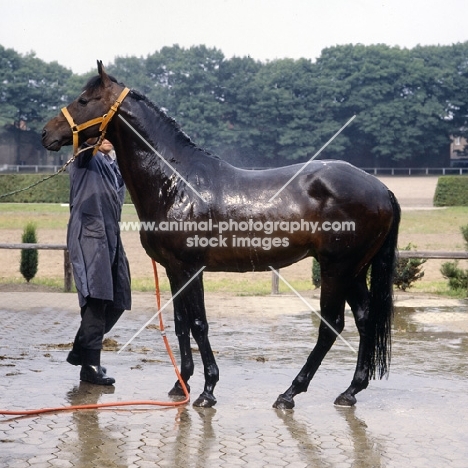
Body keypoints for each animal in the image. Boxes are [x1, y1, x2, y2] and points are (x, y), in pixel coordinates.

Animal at [42, 62, 400, 410]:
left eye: (84, 100)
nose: (46, 132)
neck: (177, 183)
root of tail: (381, 188)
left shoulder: (191, 268)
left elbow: (199, 324)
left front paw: (207, 390)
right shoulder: (174, 270)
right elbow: (181, 323)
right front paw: (181, 384)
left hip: (336, 268)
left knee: (332, 325)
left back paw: (290, 394)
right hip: (354, 270)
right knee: (365, 318)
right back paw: (350, 390)